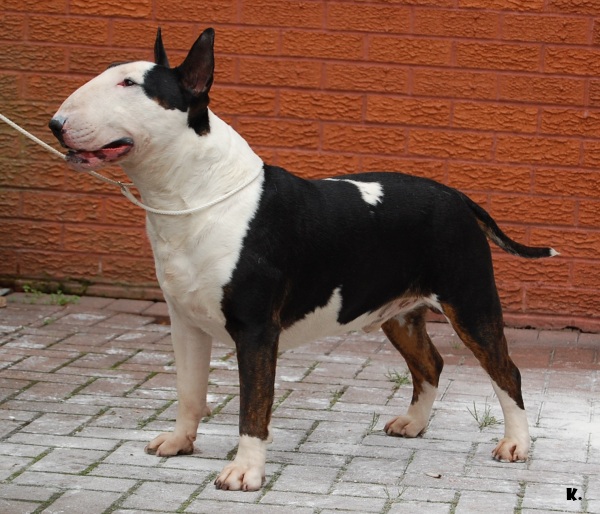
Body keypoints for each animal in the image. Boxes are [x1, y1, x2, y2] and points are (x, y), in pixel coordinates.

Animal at [50, 27, 556, 488]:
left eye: (129, 84)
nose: (55, 123)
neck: (194, 195)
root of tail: (458, 196)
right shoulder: (185, 321)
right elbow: (189, 391)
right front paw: (179, 442)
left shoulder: (256, 329)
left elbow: (254, 406)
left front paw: (244, 471)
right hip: (399, 312)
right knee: (431, 363)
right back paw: (412, 423)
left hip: (469, 300)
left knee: (506, 371)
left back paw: (515, 444)